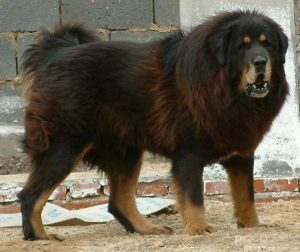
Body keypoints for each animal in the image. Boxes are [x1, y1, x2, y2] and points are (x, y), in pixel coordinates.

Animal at [18, 10, 288, 240]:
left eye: (267, 44)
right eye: (243, 46)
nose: (260, 62)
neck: (224, 89)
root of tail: (56, 54)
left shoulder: (241, 153)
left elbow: (246, 195)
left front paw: (253, 225)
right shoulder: (188, 155)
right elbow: (194, 198)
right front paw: (199, 229)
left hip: (125, 152)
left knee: (118, 202)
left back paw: (147, 229)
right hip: (65, 148)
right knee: (30, 196)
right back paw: (39, 236)